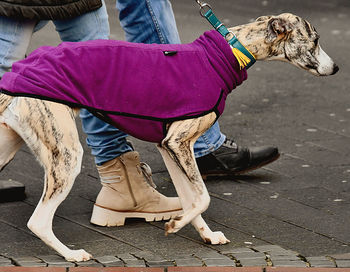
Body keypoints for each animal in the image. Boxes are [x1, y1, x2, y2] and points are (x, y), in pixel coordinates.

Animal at [0, 13, 340, 262]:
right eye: (315, 39)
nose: (336, 67)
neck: (231, 51)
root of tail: (14, 73)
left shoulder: (170, 147)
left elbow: (193, 198)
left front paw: (205, 234)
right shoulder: (178, 142)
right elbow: (203, 196)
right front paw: (175, 224)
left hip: (9, 147)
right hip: (67, 155)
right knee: (38, 221)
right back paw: (71, 255)